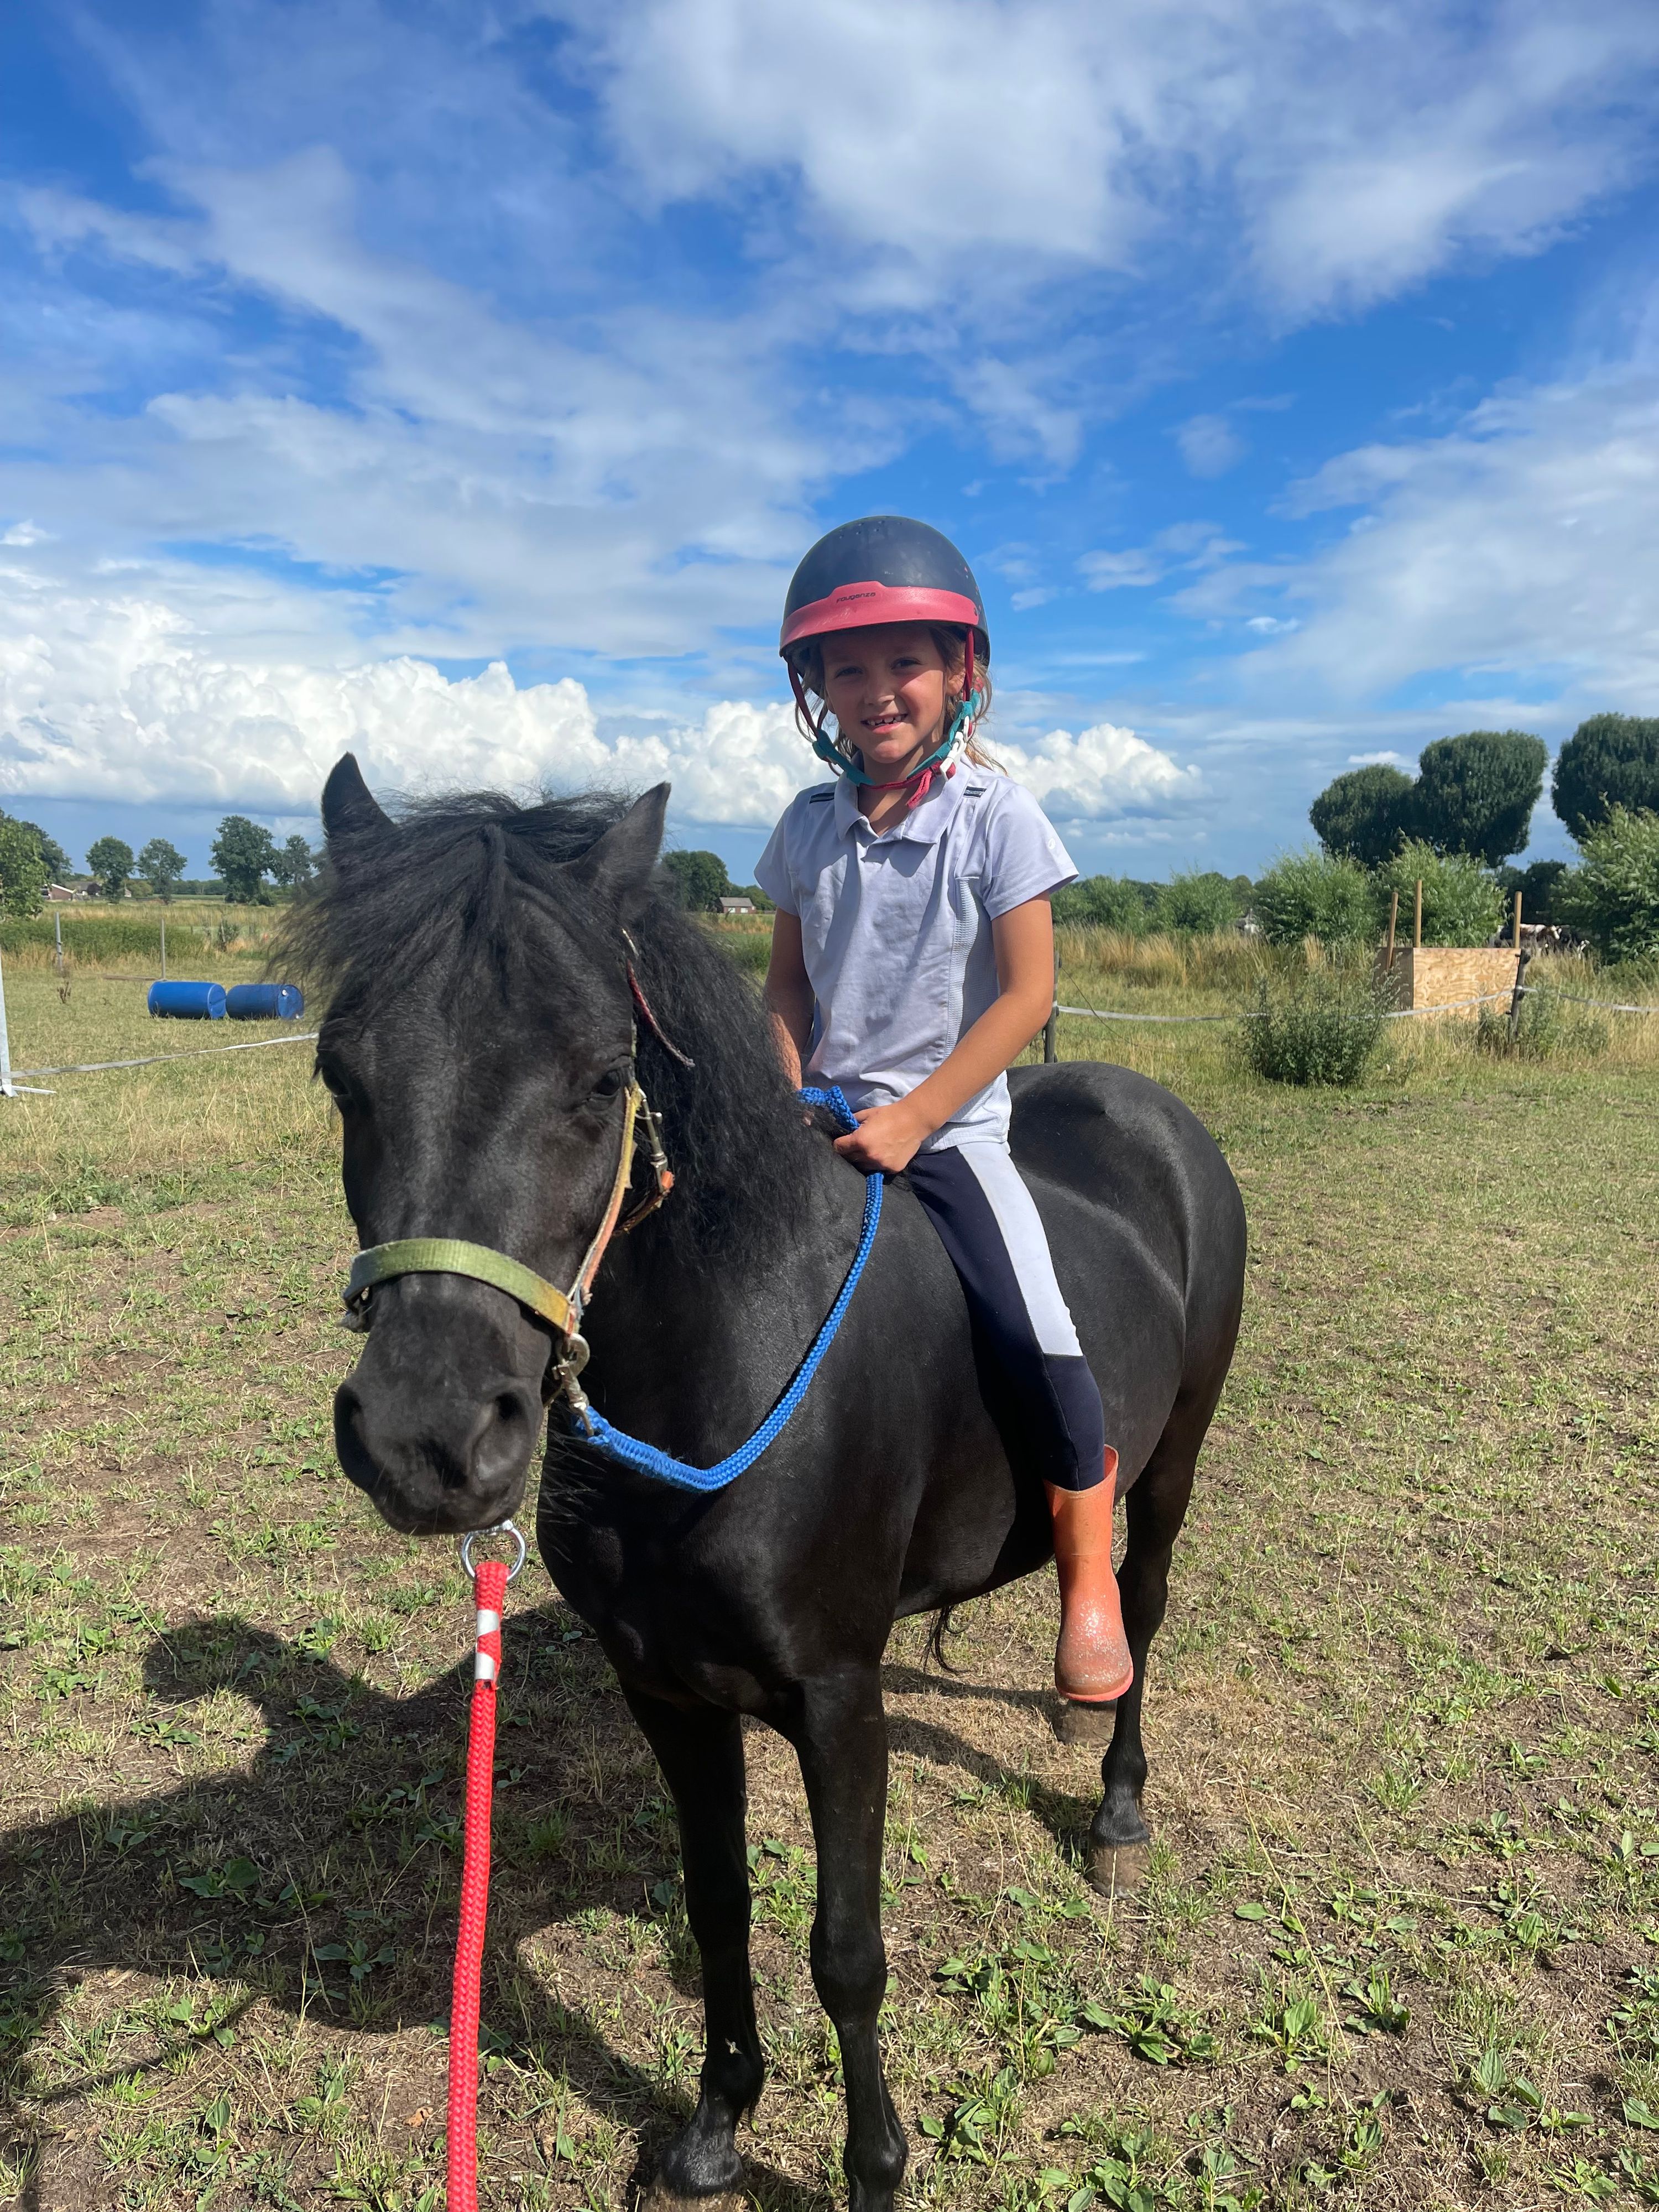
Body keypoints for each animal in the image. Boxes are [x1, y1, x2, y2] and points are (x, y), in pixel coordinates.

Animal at [299, 759, 1247, 2212]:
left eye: (602, 1079)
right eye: (341, 1072)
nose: (427, 1436)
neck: (726, 1381)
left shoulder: (837, 1700)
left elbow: (846, 1950)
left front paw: (873, 2167)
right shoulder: (669, 1691)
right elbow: (720, 1903)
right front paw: (714, 2125)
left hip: (1170, 1464)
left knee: (1136, 1607)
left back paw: (1115, 1795)